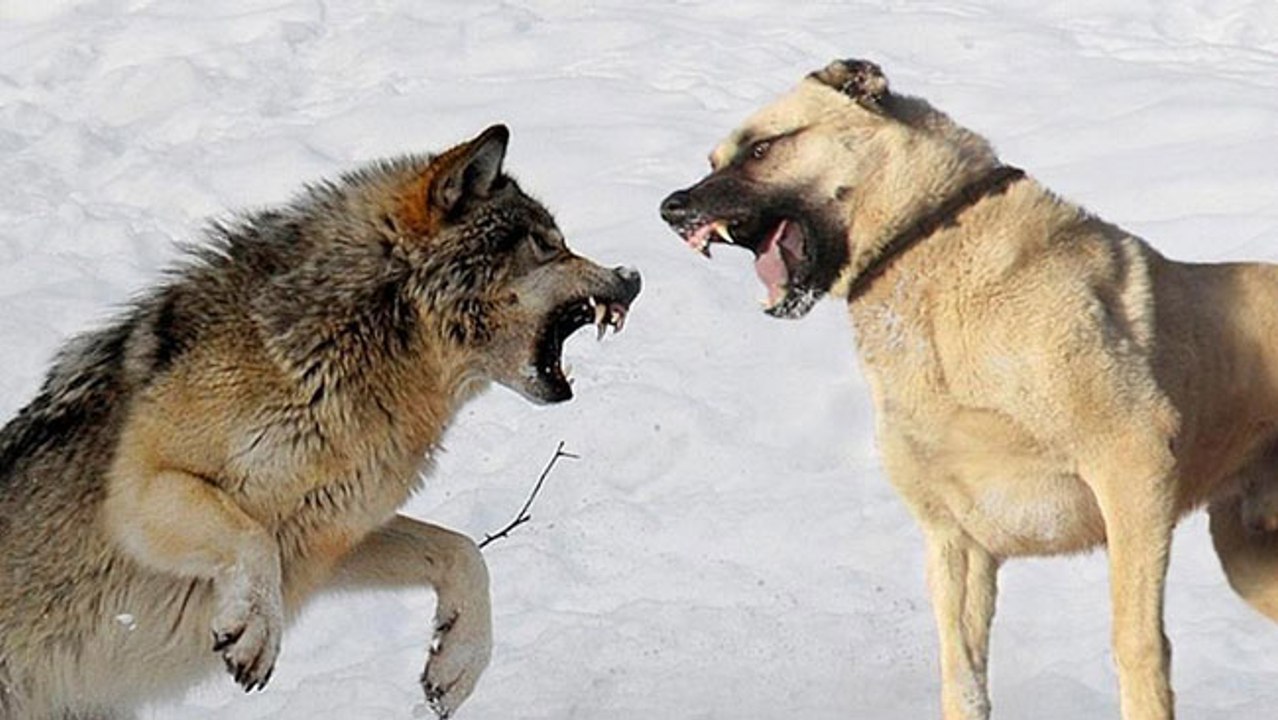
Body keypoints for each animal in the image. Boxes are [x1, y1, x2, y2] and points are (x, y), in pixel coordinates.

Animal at [0, 124, 640, 720]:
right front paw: (253, 633)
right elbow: (249, 536)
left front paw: (457, 665)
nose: (632, 277)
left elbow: (462, 552)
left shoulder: (327, 541)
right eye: (548, 246)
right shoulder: (142, 491)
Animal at [660, 59, 1278, 720]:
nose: (671, 208)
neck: (927, 250)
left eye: (761, 148)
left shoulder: (1132, 464)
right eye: (713, 158)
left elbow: (1136, 643)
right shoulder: (954, 538)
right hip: (1247, 554)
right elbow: (963, 674)